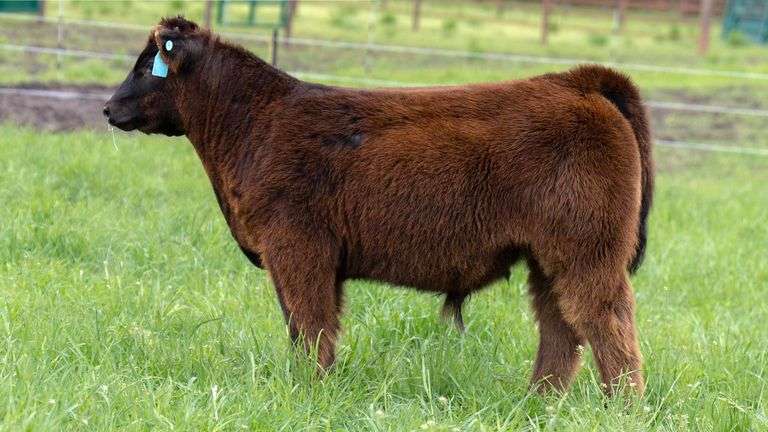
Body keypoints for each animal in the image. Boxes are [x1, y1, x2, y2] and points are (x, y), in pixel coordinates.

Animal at [104, 16, 654, 395]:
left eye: (146, 67)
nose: (108, 108)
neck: (256, 122)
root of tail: (576, 81)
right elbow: (302, 326)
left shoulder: (298, 248)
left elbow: (311, 325)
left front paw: (310, 390)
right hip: (550, 258)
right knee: (560, 327)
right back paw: (538, 401)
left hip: (589, 254)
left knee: (608, 325)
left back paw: (620, 408)